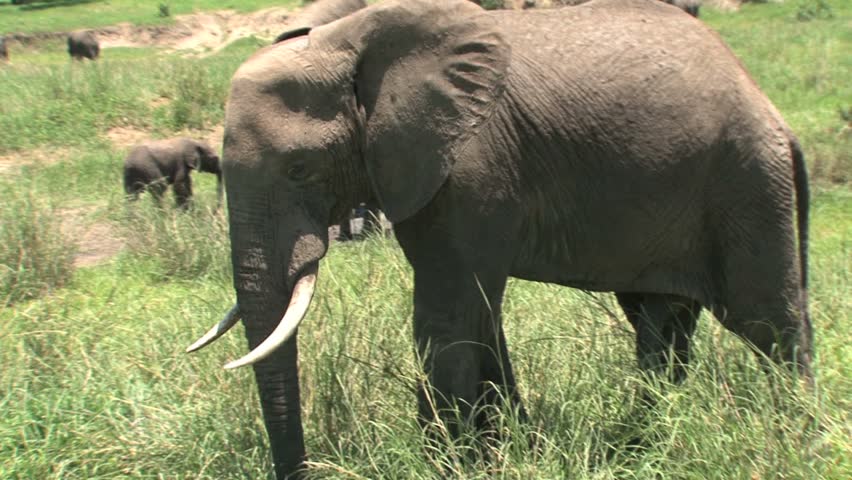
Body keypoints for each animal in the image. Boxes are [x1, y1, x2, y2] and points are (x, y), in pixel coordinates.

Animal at [190, 1, 816, 478]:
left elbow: (448, 316)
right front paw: (508, 451)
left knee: (770, 322)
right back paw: (638, 445)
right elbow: (480, 317)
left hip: (746, 182)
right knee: (660, 326)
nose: (305, 472)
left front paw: (448, 465)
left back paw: (793, 441)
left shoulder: (472, 162)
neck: (348, 40)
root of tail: (771, 109)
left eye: (299, 169)